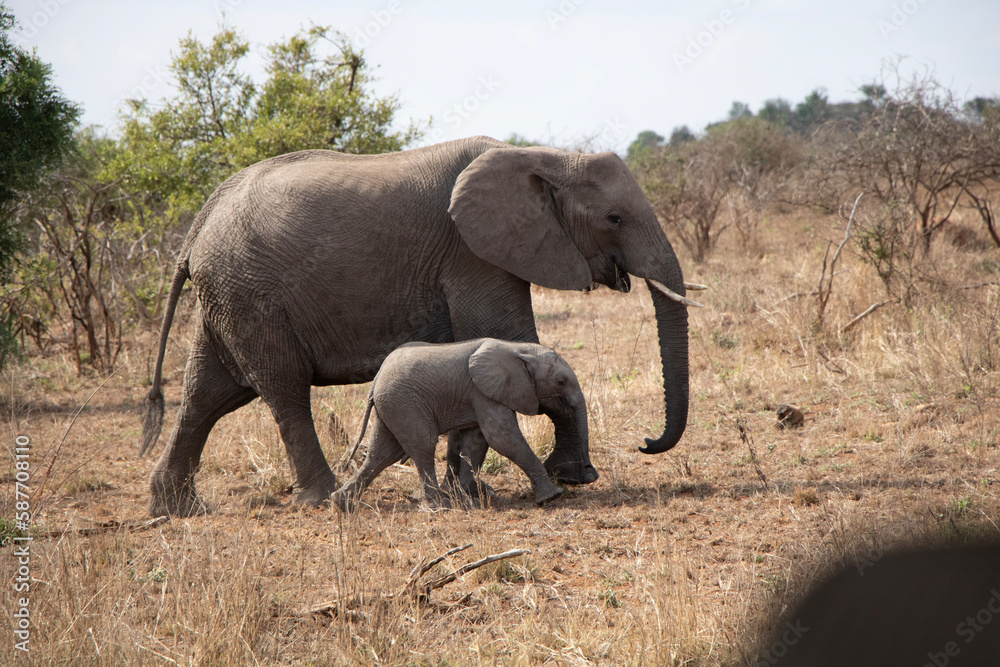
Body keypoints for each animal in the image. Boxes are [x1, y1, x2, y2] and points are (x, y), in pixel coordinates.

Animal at [334, 336, 592, 516]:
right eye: (561, 382)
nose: (589, 474)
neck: (519, 349)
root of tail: (376, 379)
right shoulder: (485, 392)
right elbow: (502, 438)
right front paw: (552, 497)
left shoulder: (478, 395)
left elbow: (477, 440)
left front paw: (472, 497)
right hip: (404, 403)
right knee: (422, 446)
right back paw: (440, 506)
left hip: (391, 405)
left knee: (383, 453)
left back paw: (340, 503)